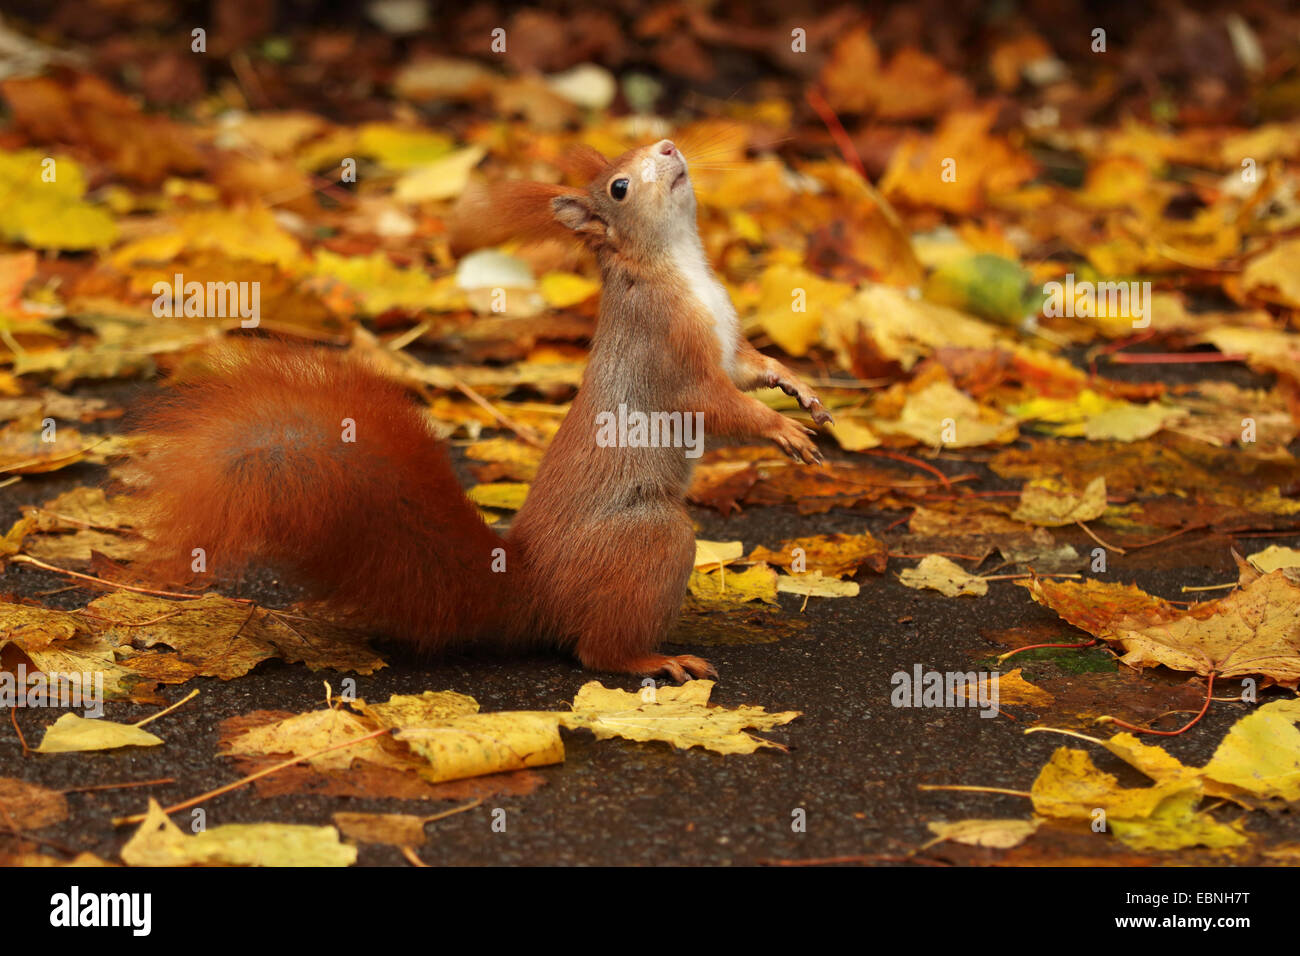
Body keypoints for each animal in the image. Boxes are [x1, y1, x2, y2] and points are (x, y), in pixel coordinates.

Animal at [125, 139, 832, 682]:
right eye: (620, 187)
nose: (667, 146)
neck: (678, 262)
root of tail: (533, 589)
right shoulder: (672, 356)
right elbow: (715, 403)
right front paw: (782, 430)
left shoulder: (728, 342)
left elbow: (753, 368)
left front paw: (798, 389)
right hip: (651, 540)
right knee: (595, 651)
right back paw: (653, 659)